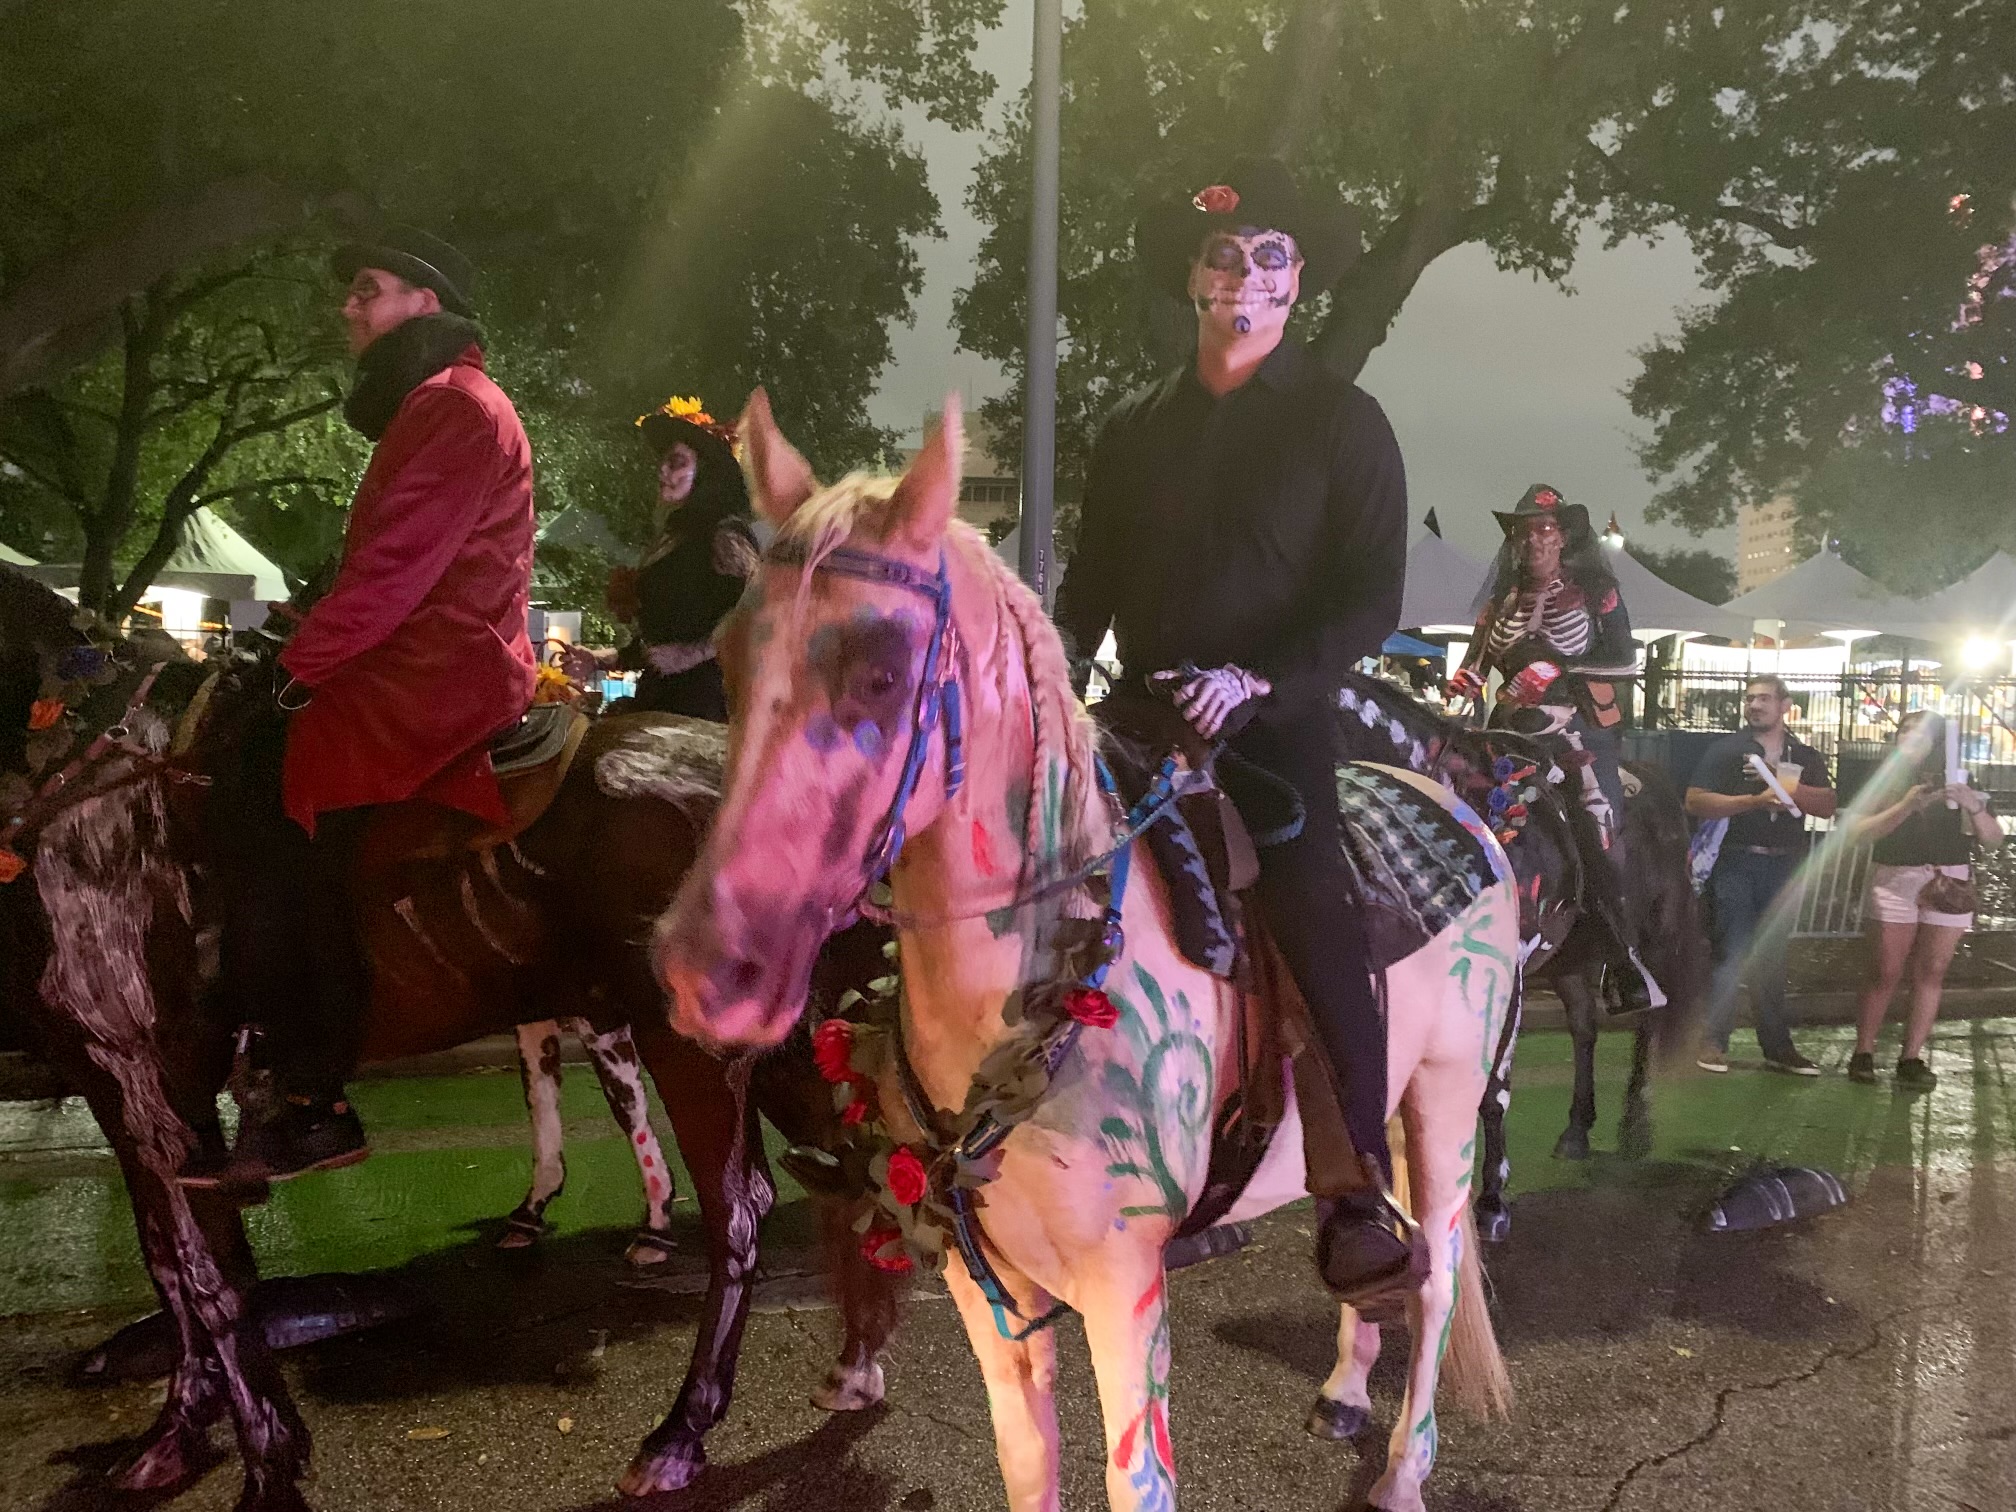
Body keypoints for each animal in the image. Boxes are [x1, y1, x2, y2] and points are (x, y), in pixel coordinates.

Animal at [0, 568, 899, 1512]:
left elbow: (212, 1284)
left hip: (691, 1042)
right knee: (844, 1166)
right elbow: (169, 1268)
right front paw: (174, 1437)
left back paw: (680, 1433)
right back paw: (854, 1366)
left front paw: (267, 1466)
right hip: (778, 1039)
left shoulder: (150, 1077)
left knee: (746, 1209)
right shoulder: (115, 1086)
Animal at [657, 399, 1516, 1512]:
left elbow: (1134, 1476)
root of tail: (1465, 808)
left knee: (1442, 1274)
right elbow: (1030, 1468)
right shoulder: (990, 1293)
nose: (704, 972)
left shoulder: (1124, 1295)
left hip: (1447, 1108)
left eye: (882, 673)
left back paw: (1405, 1471)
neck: (1040, 996)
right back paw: (1342, 1391)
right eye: (725, 660)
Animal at [1338, 673, 1701, 1241]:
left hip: (1658, 939)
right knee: (1584, 1029)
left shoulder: (1506, 976)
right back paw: (1577, 1129)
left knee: (1649, 1023)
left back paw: (1635, 1128)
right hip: (1572, 960)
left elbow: (1494, 1090)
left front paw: (1491, 1203)